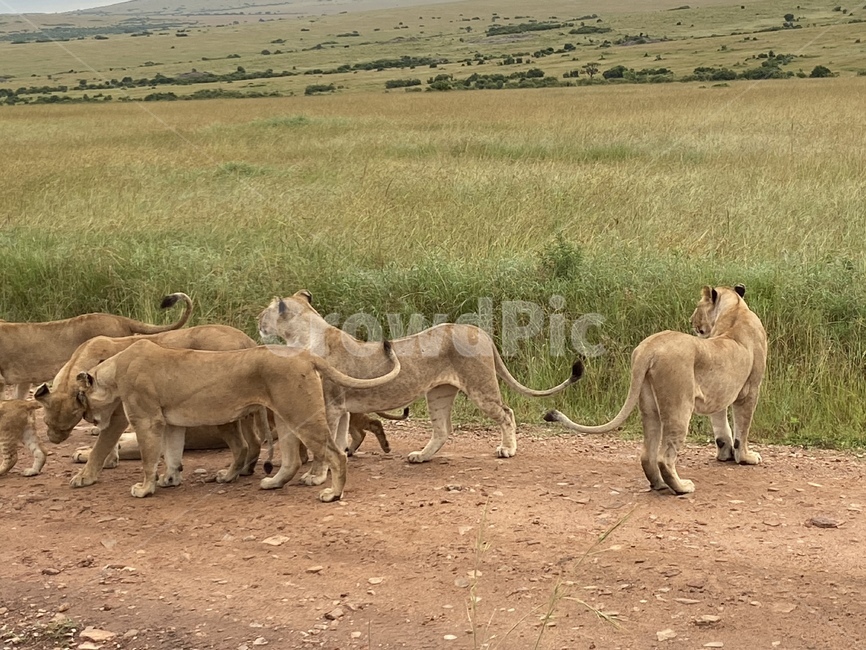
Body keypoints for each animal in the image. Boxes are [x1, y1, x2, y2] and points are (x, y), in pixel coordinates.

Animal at [35, 325, 270, 485]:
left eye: (66, 426)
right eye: (47, 422)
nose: (54, 440)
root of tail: (247, 340)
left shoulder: (120, 415)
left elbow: (102, 443)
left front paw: (85, 476)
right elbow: (107, 441)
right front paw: (109, 461)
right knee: (254, 440)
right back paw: (246, 469)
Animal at [74, 338, 401, 501]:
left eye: (80, 398)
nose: (87, 417)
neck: (114, 369)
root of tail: (304, 355)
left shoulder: (147, 420)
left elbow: (148, 459)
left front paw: (145, 489)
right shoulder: (172, 422)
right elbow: (173, 453)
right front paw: (170, 479)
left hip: (300, 414)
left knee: (336, 453)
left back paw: (333, 493)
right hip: (285, 416)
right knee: (293, 459)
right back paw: (273, 483)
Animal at [257, 290, 581, 485]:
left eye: (264, 313)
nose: (257, 322)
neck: (303, 336)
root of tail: (479, 330)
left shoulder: (330, 405)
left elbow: (325, 446)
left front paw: (315, 477)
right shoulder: (342, 408)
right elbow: (337, 441)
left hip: (480, 386)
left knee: (507, 412)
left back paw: (508, 449)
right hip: (438, 393)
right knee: (442, 429)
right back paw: (421, 456)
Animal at [544, 284, 767, 495]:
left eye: (697, 306)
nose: (691, 320)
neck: (735, 310)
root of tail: (648, 348)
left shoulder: (719, 394)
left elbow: (722, 428)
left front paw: (725, 454)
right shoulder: (750, 390)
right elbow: (742, 429)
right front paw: (745, 457)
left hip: (650, 406)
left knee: (647, 454)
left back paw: (659, 485)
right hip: (679, 406)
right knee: (664, 457)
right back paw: (681, 487)